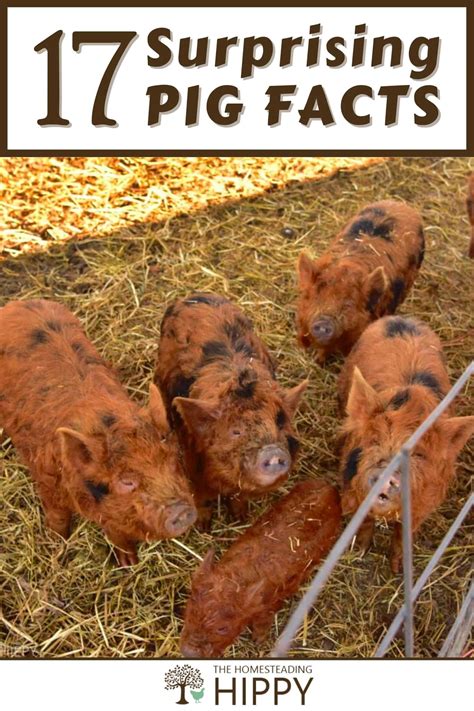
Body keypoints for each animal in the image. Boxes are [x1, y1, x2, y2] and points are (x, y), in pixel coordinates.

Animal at [0, 299, 197, 566]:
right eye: (126, 481)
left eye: (174, 460)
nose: (182, 511)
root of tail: (18, 304)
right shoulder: (45, 478)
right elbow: (57, 516)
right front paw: (57, 547)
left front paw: (128, 563)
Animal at [154, 293, 308, 525]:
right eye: (235, 431)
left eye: (280, 423)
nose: (272, 451)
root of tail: (194, 295)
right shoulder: (192, 463)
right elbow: (200, 496)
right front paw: (203, 526)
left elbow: (238, 498)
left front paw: (241, 519)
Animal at [180, 479, 341, 658]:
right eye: (189, 611)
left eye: (223, 628)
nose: (189, 652)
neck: (236, 577)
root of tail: (330, 488)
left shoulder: (272, 604)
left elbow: (263, 623)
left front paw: (258, 641)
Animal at [338, 315, 474, 573]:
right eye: (374, 440)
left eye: (419, 455)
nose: (386, 474)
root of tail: (402, 318)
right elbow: (365, 521)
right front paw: (360, 552)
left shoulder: (424, 506)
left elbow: (403, 534)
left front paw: (398, 570)